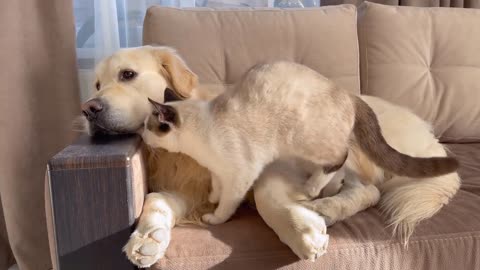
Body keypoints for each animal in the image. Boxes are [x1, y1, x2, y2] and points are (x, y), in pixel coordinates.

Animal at [141, 61, 460, 226]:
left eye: (147, 126)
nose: (141, 136)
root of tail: (348, 94)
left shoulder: (240, 175)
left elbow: (227, 204)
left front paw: (214, 217)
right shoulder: (220, 172)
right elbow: (217, 190)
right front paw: (212, 199)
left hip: (304, 141)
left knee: (340, 158)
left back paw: (313, 190)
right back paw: (324, 191)